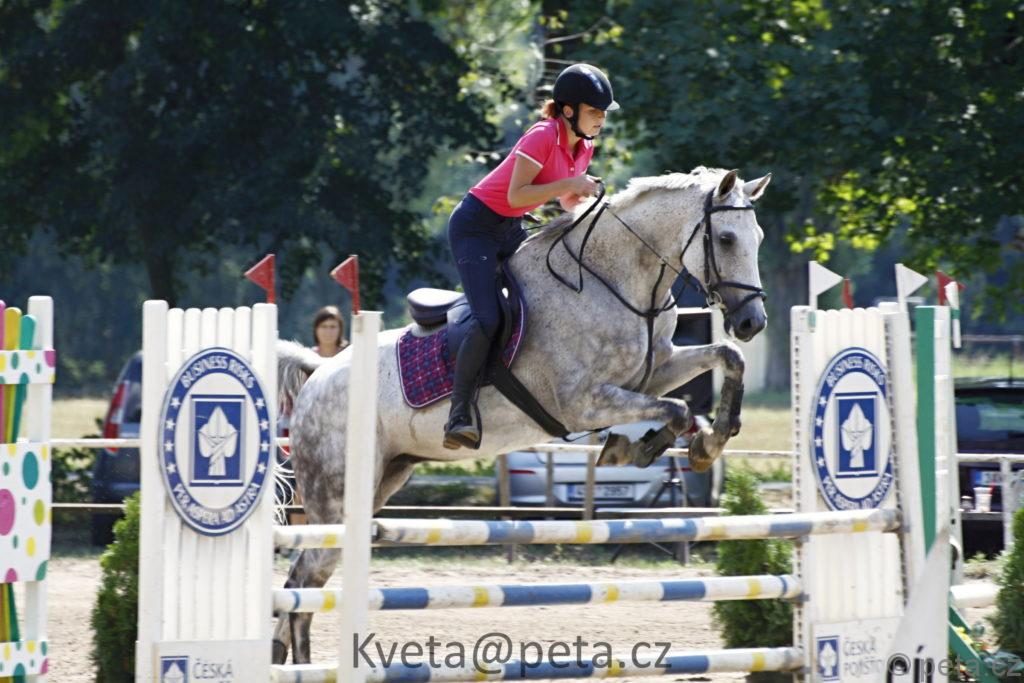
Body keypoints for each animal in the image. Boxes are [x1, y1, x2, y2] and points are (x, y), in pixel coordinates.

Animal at [271, 166, 771, 664]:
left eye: (759, 237)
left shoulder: (654, 371)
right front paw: (648, 446)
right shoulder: (581, 401)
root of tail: (318, 373)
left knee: (303, 583)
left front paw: (708, 438)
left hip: (384, 478)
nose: (753, 323)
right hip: (336, 494)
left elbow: (726, 359)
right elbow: (678, 408)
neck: (616, 282)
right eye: (726, 238)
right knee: (302, 581)